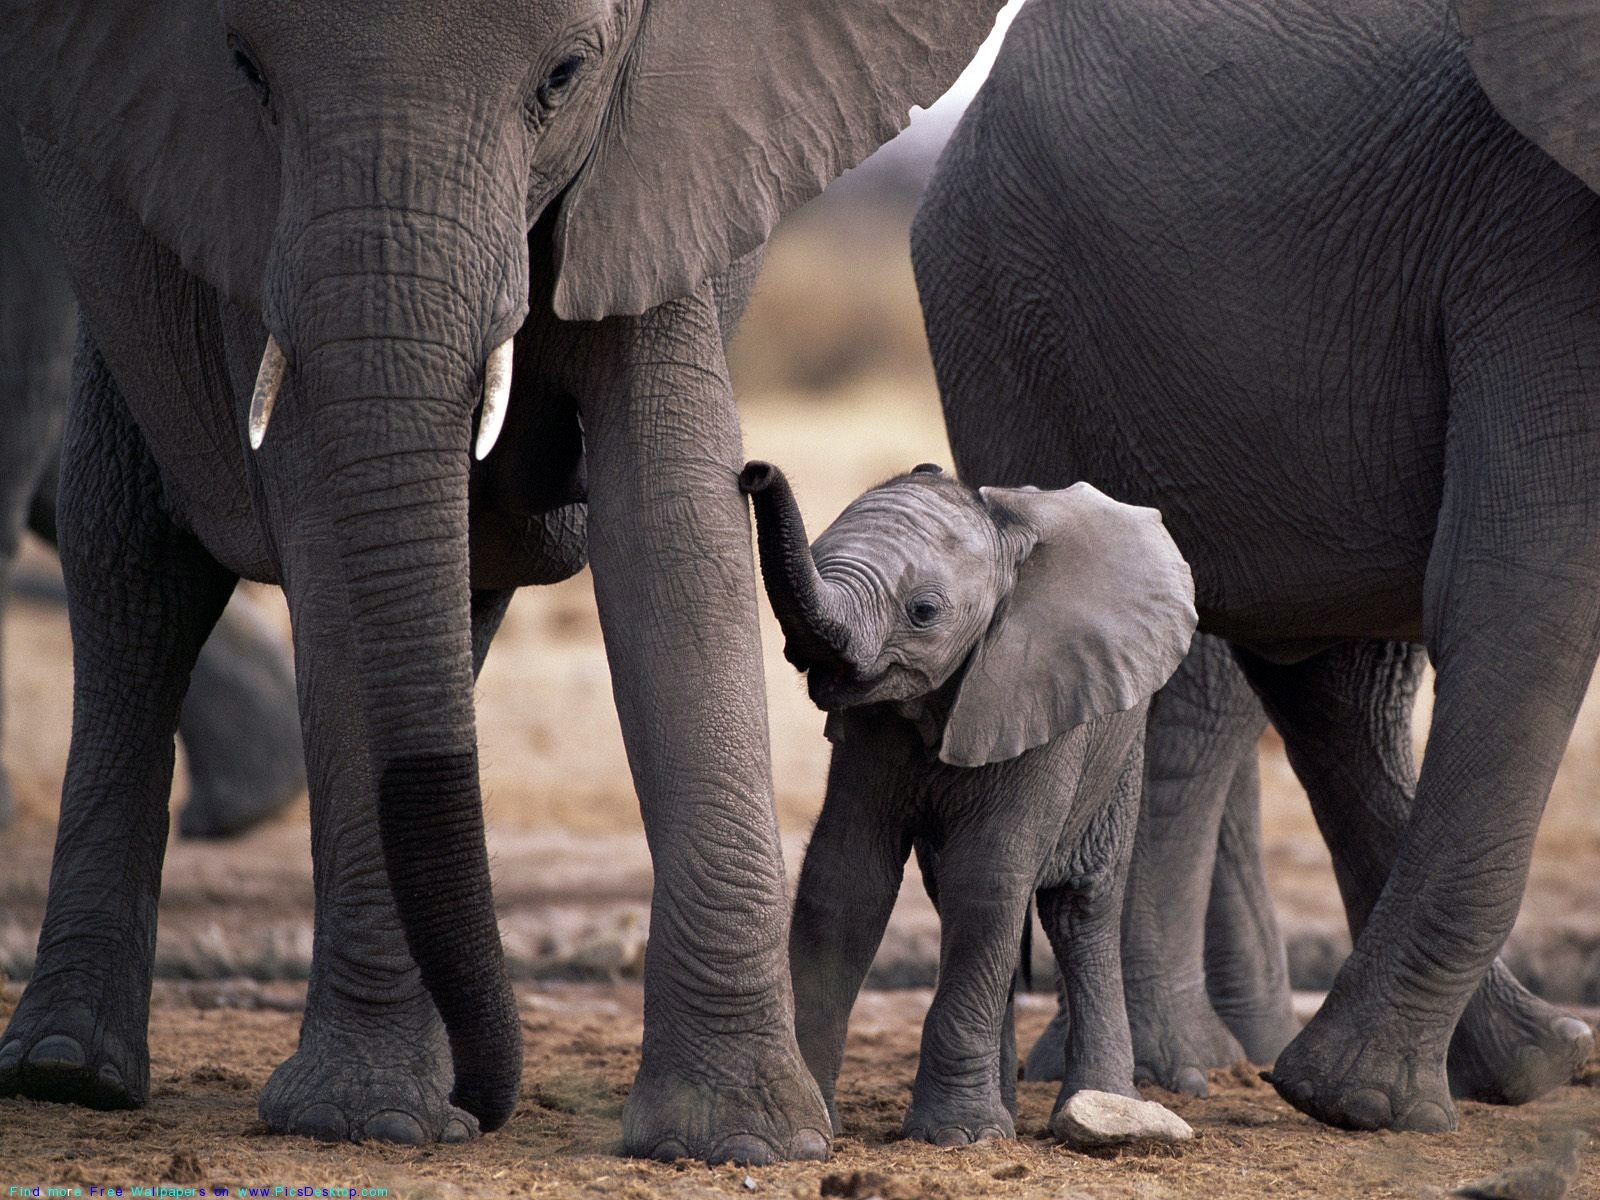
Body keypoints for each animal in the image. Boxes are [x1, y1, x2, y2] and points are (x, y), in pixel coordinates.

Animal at [740, 461, 1197, 1147]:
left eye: (924, 612)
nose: (755, 471)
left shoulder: (1037, 692)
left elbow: (988, 876)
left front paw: (957, 1137)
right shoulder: (871, 727)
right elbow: (844, 881)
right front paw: (820, 1121)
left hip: (1119, 749)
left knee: (1077, 909)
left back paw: (1097, 1105)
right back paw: (1004, 1111)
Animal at [910, 0, 1600, 1134]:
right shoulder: (1539, 239)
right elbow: (1529, 595)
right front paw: (1356, 1108)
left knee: (1339, 679)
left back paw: (1526, 1062)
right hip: (1009, 310)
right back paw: (1211, 1084)